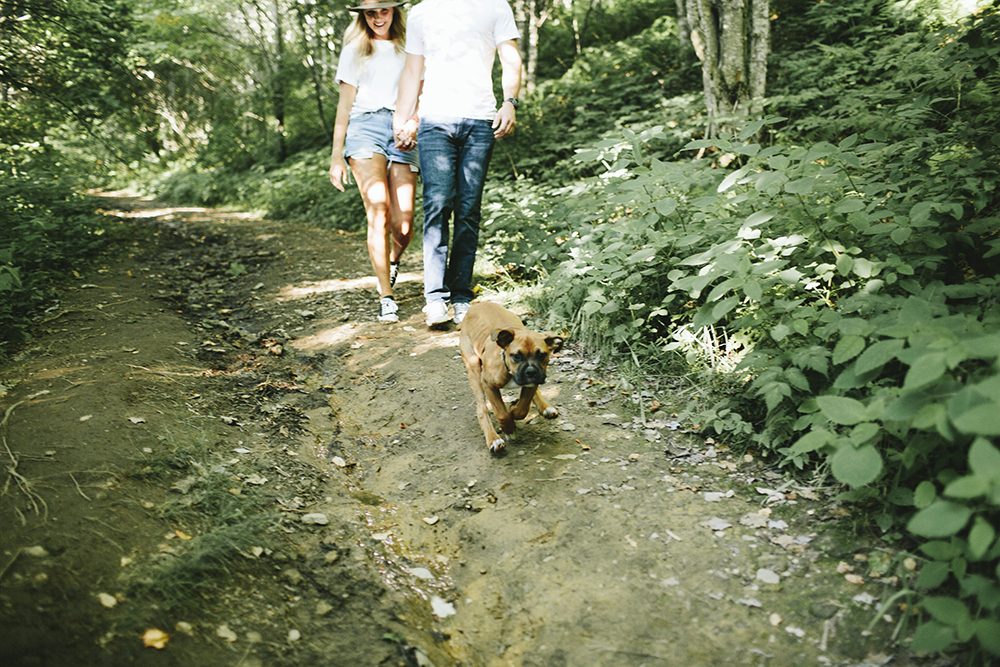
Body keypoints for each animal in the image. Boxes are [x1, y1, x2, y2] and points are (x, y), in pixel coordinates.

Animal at [458, 302, 568, 454]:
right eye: (516, 356)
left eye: (542, 355)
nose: (531, 371)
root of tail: (475, 306)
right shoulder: (488, 384)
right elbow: (501, 413)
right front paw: (509, 428)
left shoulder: (531, 385)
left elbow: (522, 409)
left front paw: (514, 409)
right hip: (473, 368)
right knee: (481, 409)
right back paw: (493, 438)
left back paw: (545, 407)